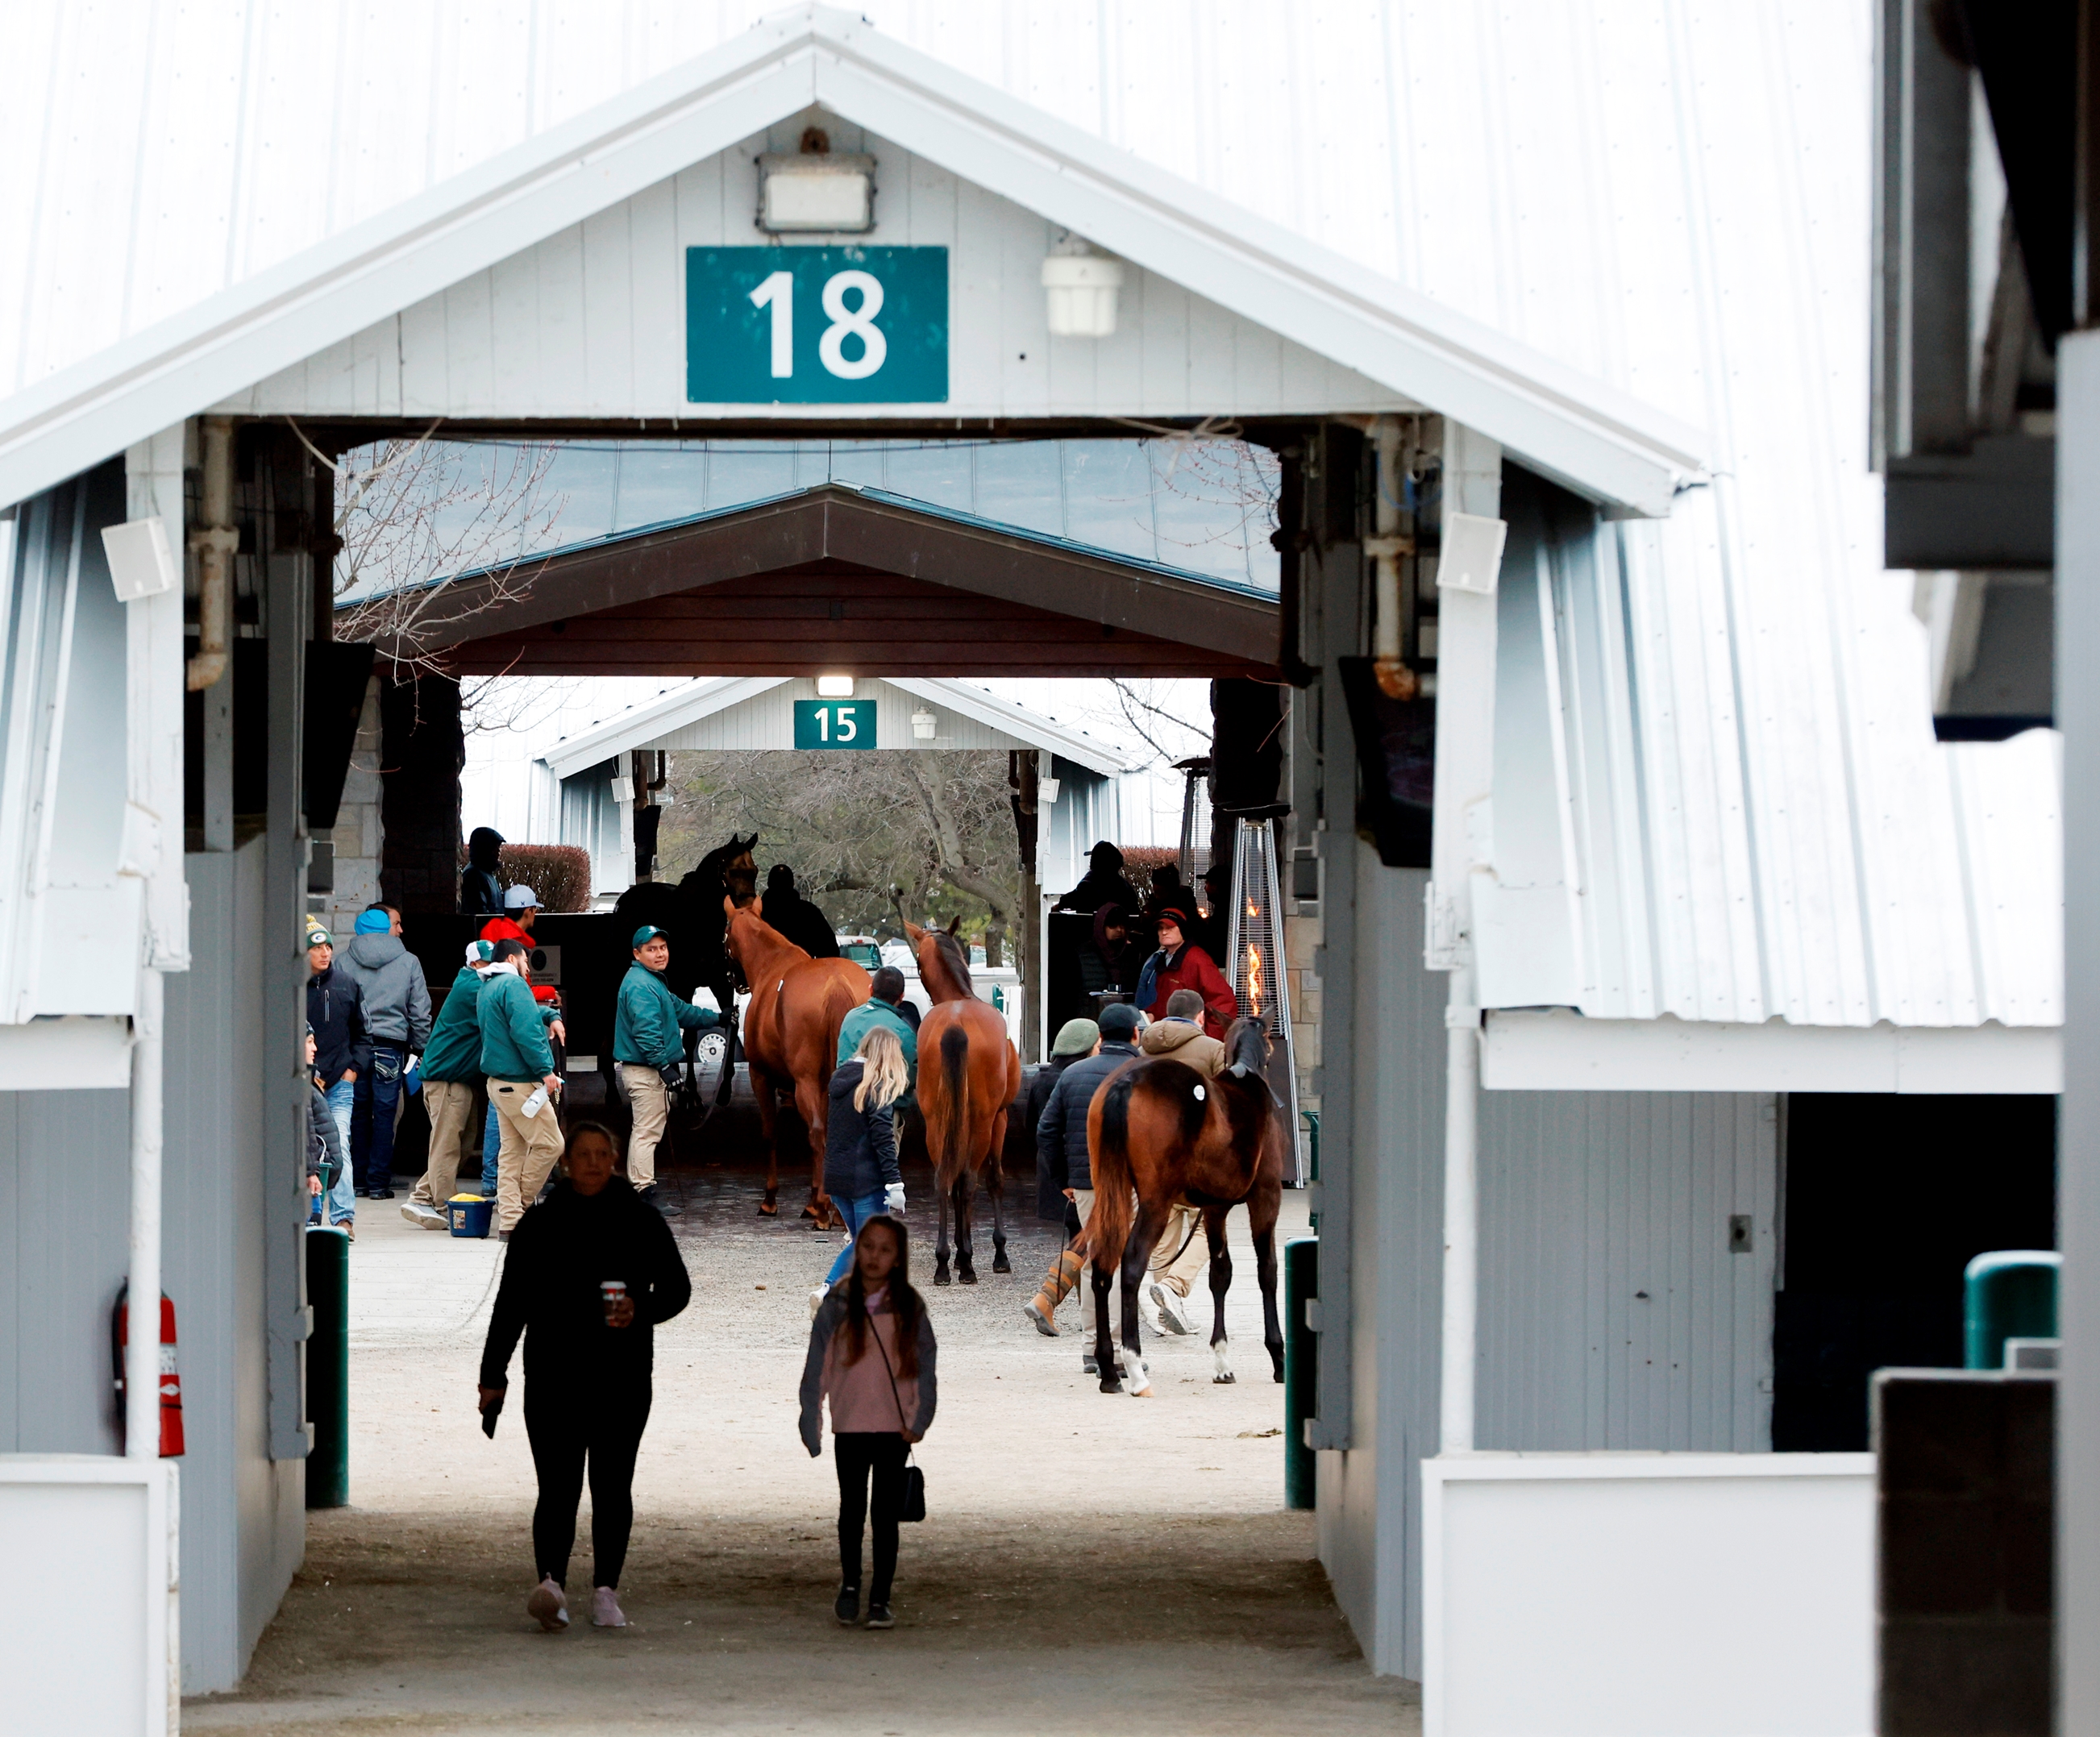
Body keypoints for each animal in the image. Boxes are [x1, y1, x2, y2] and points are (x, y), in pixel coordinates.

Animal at [722, 895, 869, 1226]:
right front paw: (813, 1199)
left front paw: (771, 1200)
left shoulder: (760, 1076)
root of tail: (835, 981)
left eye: (724, 934)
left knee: (817, 1132)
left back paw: (826, 1211)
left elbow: (770, 1134)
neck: (771, 966)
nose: (734, 981)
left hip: (805, 1082)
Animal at [903, 924, 1025, 1294]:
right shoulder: (999, 1117)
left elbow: (953, 1183)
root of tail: (956, 1024)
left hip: (936, 1121)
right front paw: (996, 1253)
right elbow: (994, 1179)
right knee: (970, 1180)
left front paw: (956, 1253)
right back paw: (969, 1264)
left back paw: (944, 1263)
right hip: (984, 1121)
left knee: (943, 1180)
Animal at [1092, 1020, 1285, 1402]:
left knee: (1101, 1265)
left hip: (1111, 1195)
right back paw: (1135, 1370)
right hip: (1156, 1202)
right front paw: (1278, 1357)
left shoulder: (1215, 1209)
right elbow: (1267, 1271)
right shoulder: (1266, 1199)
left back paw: (1108, 1370)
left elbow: (1221, 1275)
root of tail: (1126, 1081)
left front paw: (1222, 1363)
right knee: (1132, 1264)